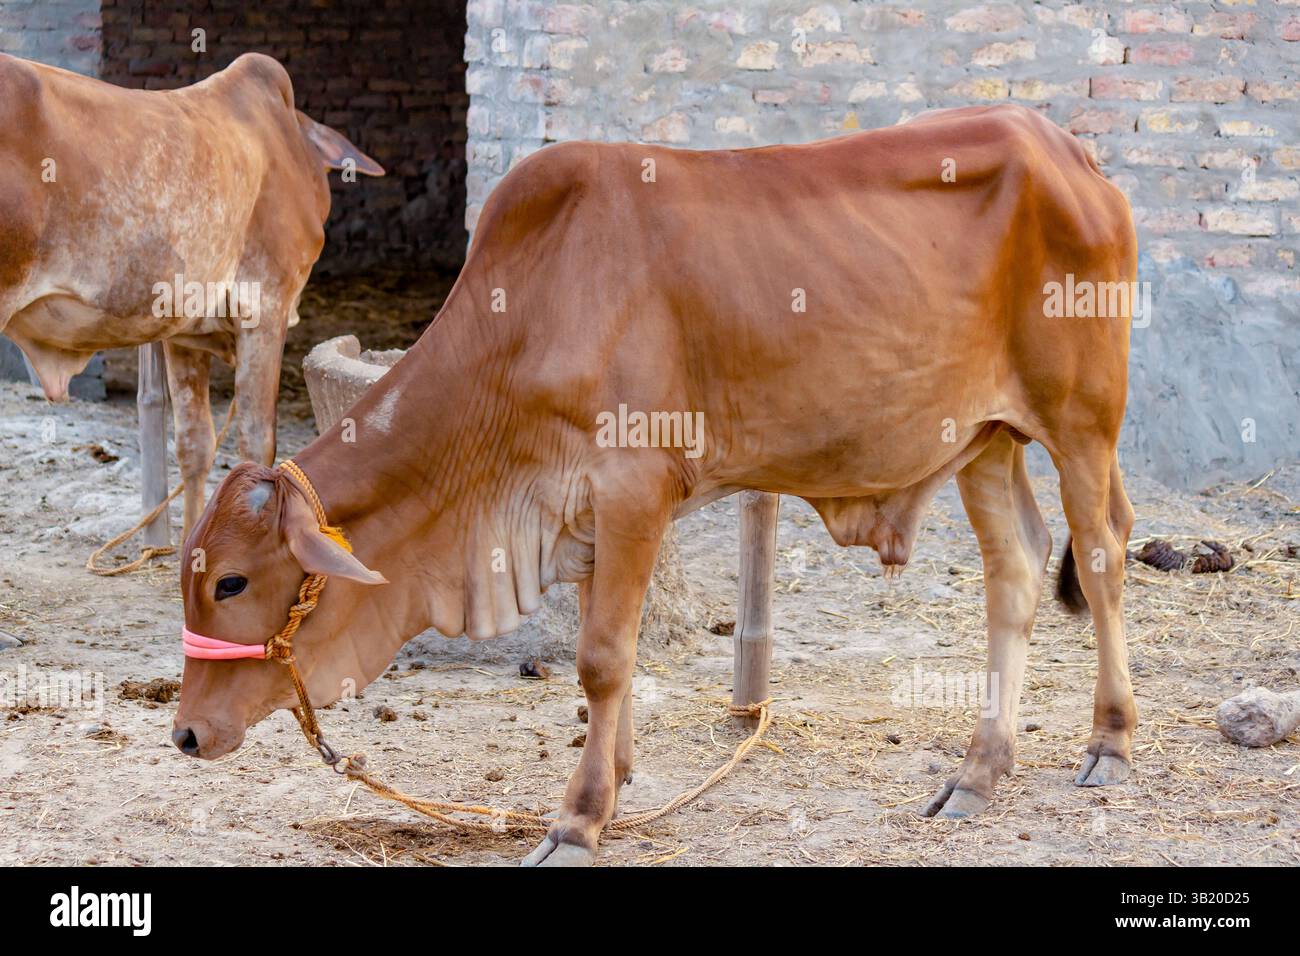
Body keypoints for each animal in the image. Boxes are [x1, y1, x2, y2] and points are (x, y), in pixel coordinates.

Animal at [172, 104, 1138, 866]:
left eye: (234, 582)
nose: (184, 733)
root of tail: (1070, 151)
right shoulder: (584, 514)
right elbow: (610, 656)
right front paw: (619, 779)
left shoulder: (633, 488)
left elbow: (602, 659)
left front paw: (576, 822)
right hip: (985, 441)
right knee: (1016, 570)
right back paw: (978, 772)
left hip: (1082, 422)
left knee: (1099, 558)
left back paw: (1109, 743)